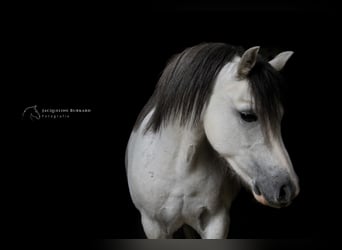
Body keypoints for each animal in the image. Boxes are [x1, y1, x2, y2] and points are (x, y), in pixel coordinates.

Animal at [125, 43, 300, 238]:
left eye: (280, 117)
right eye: (247, 115)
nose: (288, 188)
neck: (180, 168)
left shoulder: (217, 222)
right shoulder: (153, 226)